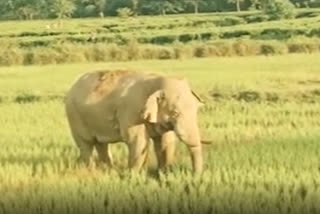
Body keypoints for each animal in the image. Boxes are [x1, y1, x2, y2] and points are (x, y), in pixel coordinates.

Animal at [64, 69, 210, 173]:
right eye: (175, 113)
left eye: (197, 110)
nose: (196, 176)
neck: (156, 80)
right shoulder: (132, 113)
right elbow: (138, 142)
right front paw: (133, 175)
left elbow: (165, 142)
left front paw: (163, 173)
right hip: (74, 116)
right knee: (86, 144)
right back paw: (92, 171)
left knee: (101, 144)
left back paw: (108, 170)